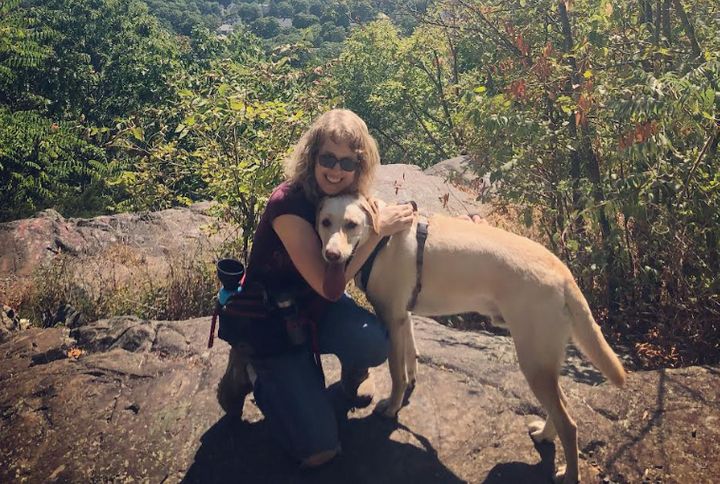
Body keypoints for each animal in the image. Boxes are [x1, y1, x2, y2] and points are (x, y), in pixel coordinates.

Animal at [316, 194, 624, 484]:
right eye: (325, 222)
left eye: (351, 224)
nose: (331, 255)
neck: (381, 239)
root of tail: (564, 274)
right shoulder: (403, 317)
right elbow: (410, 358)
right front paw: (410, 386)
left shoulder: (391, 318)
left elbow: (396, 373)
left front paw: (392, 407)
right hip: (544, 361)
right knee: (563, 407)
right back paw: (545, 435)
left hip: (533, 362)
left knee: (568, 423)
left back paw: (569, 474)